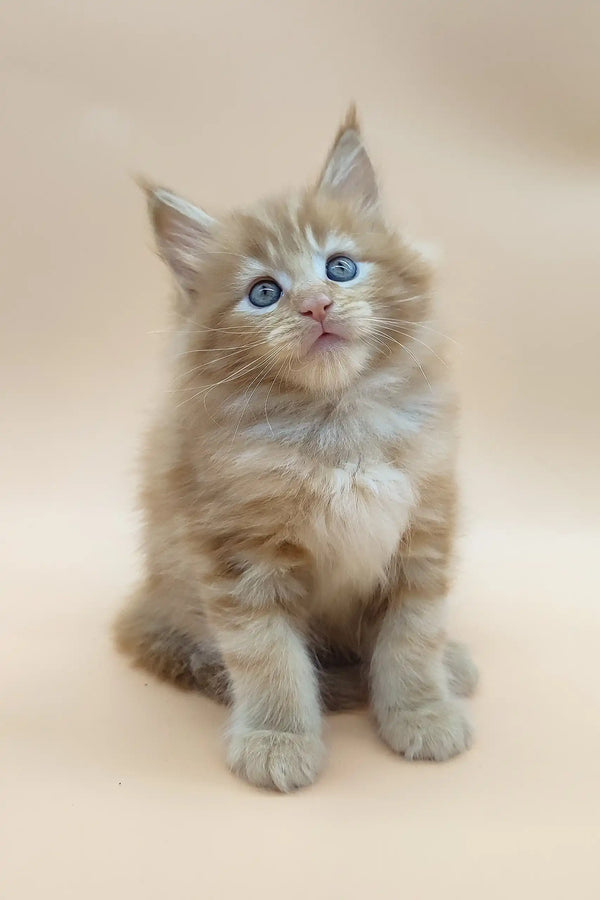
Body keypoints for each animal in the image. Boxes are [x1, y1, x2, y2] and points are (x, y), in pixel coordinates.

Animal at [113, 109, 478, 792]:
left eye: (340, 268)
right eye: (263, 293)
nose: (316, 304)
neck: (336, 427)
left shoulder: (422, 526)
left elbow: (414, 636)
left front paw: (423, 710)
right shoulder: (240, 553)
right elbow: (268, 657)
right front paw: (277, 739)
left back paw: (452, 663)